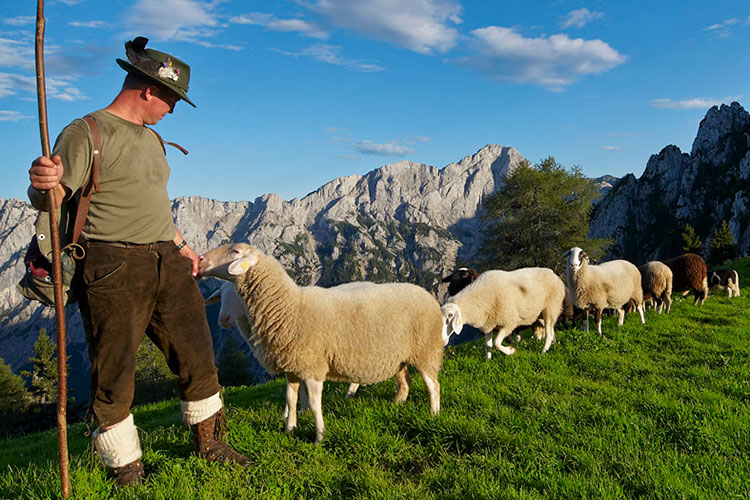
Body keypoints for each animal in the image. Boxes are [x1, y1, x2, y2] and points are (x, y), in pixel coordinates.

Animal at [200, 244, 446, 444]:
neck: (289, 307)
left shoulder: (313, 367)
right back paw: (396, 406)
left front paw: (319, 437)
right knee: (405, 382)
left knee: (433, 386)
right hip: (399, 357)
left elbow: (315, 404)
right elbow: (291, 398)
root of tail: (427, 295)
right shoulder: (292, 367)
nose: (200, 260)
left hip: (426, 350)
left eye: (235, 251)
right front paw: (290, 428)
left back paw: (433, 415)